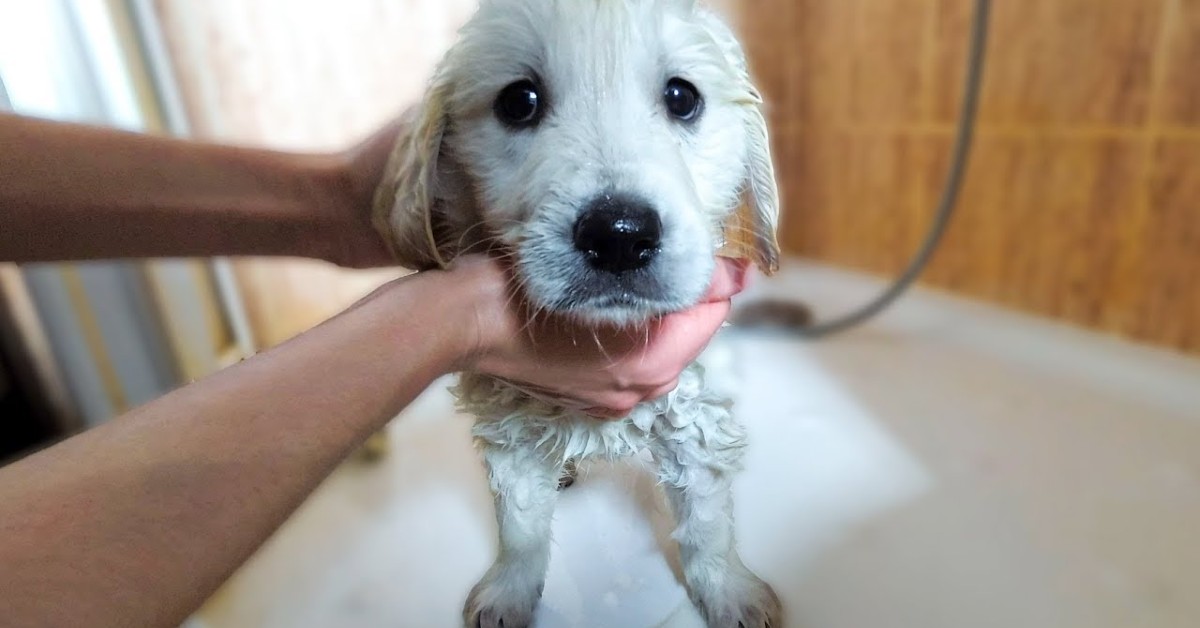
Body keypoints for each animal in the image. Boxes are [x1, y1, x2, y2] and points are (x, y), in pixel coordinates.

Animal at [376, 2, 787, 624]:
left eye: (682, 97)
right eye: (519, 101)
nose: (619, 235)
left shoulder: (694, 417)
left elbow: (706, 524)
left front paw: (729, 590)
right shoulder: (509, 428)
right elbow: (519, 527)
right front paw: (510, 591)